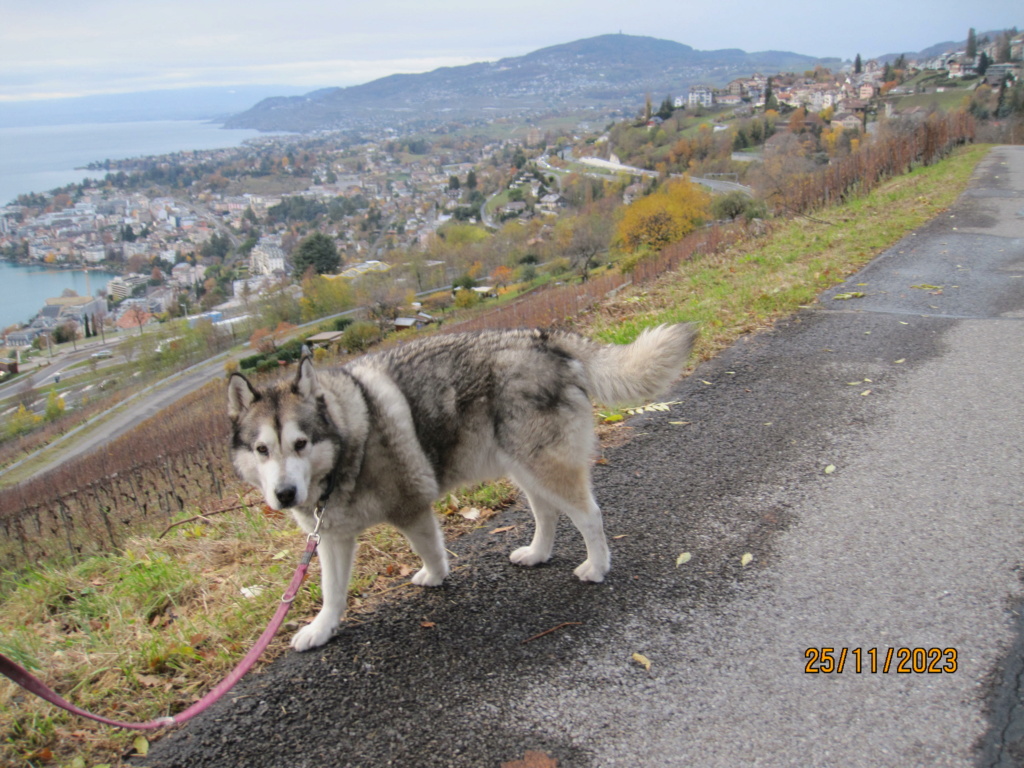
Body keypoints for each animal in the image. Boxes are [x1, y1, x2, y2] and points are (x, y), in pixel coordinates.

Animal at [229, 325, 696, 651]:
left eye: (300, 443)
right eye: (262, 449)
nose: (284, 495)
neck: (349, 440)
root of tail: (544, 338)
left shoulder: (411, 507)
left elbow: (430, 550)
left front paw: (437, 576)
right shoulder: (330, 536)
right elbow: (332, 591)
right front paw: (322, 628)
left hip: (543, 465)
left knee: (588, 515)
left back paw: (597, 566)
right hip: (523, 467)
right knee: (546, 513)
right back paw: (538, 553)